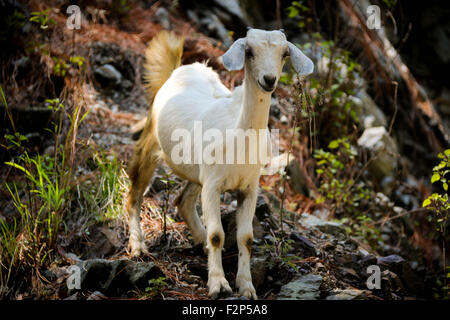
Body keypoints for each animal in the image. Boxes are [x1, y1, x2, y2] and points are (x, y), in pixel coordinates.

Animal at [125, 28, 312, 298]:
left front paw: (246, 286)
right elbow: (217, 235)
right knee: (134, 194)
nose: (269, 79)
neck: (239, 137)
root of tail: (179, 69)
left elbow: (246, 237)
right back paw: (138, 246)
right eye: (248, 51)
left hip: (197, 172)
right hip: (151, 143)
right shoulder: (213, 185)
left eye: (284, 53)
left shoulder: (249, 187)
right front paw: (218, 284)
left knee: (183, 201)